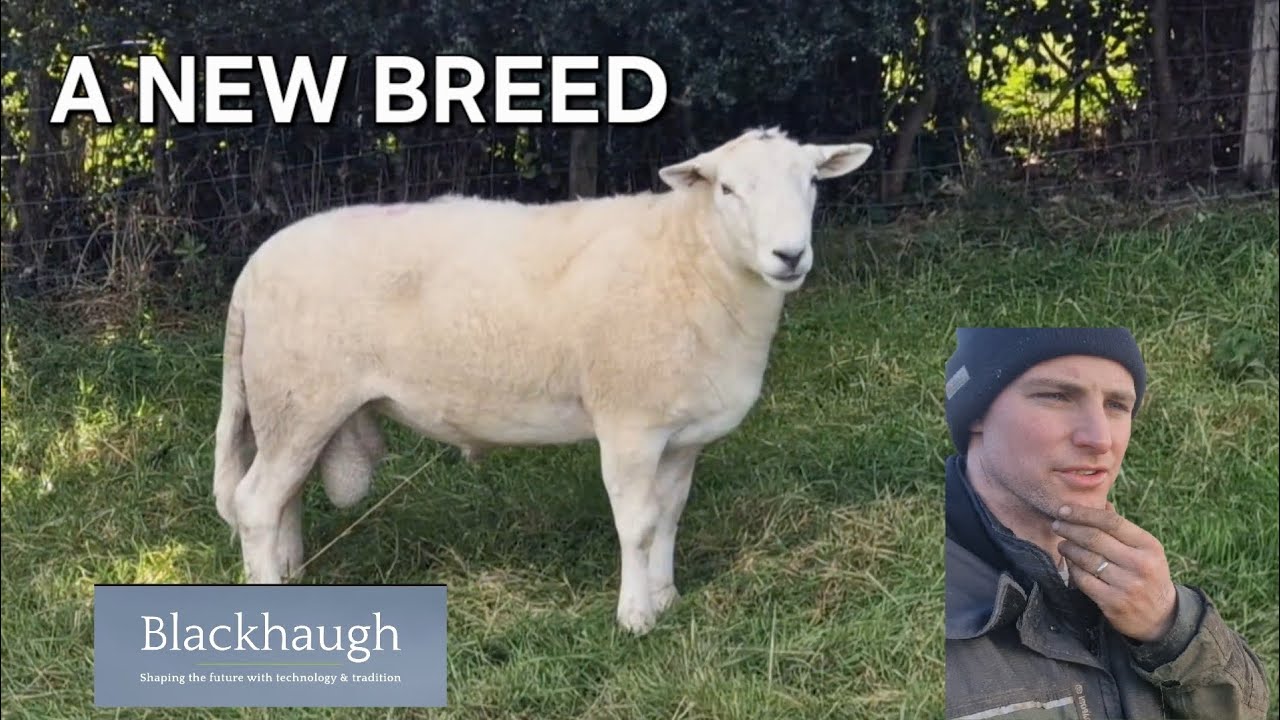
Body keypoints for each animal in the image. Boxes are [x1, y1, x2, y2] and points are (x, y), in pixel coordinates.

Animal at [212, 126, 873, 635]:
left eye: (813, 183)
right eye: (729, 189)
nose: (790, 256)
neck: (695, 258)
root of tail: (251, 272)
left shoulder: (681, 434)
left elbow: (669, 516)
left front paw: (666, 598)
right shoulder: (628, 425)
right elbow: (637, 525)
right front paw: (635, 618)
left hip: (291, 410)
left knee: (284, 499)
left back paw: (290, 577)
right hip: (300, 399)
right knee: (255, 503)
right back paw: (267, 600)